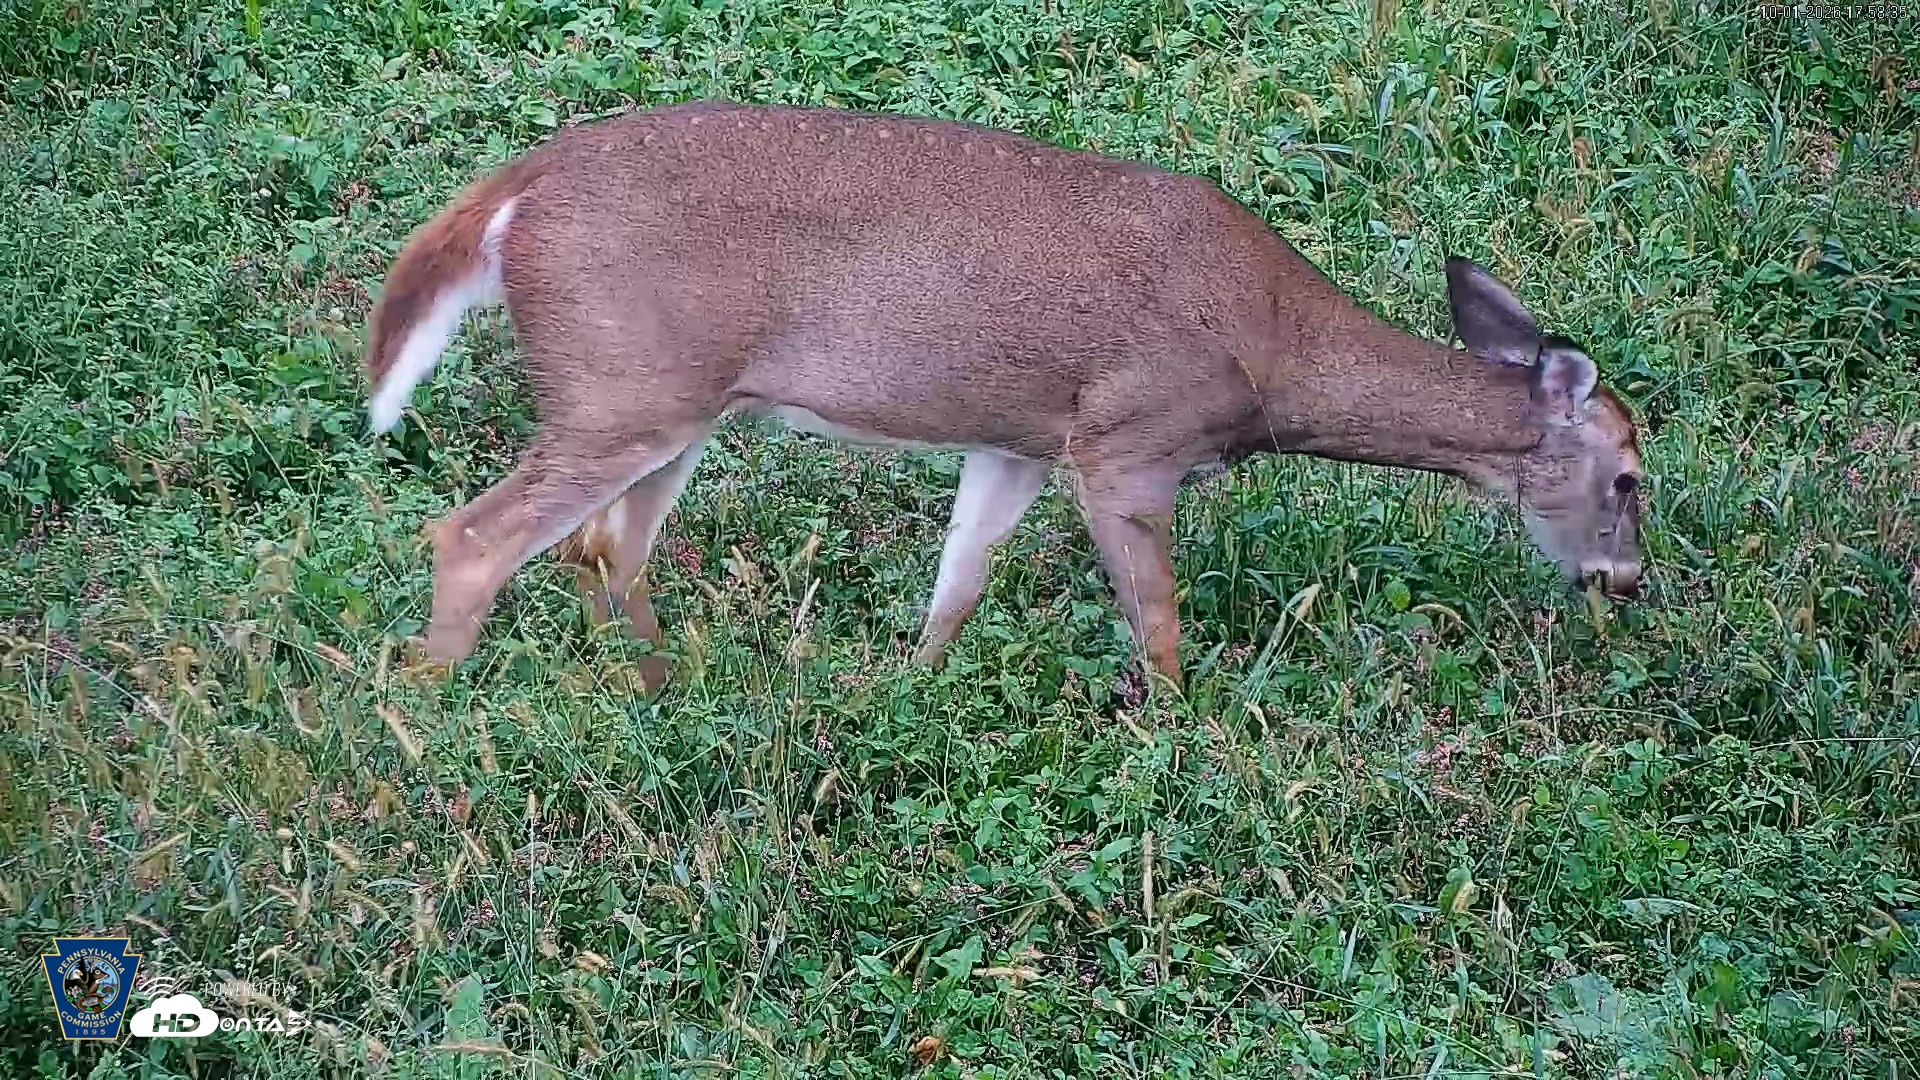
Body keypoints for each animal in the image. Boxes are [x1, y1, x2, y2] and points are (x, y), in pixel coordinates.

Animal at [363, 101, 1644, 691]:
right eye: (1632, 476)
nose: (1627, 583)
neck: (1276, 357)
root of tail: (515, 193)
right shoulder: (1127, 438)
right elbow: (1159, 621)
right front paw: (1183, 738)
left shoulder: (1022, 436)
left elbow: (959, 584)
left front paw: (905, 690)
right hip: (620, 387)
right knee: (471, 536)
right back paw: (428, 714)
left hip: (671, 400)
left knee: (604, 553)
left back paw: (666, 687)